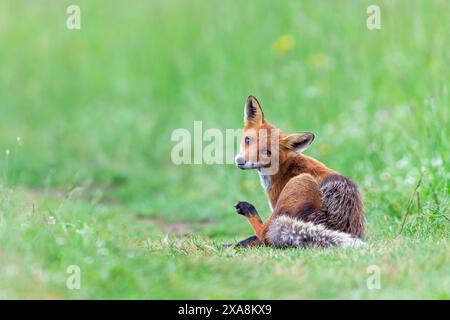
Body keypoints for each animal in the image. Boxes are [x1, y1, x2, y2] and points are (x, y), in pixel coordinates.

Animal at [232, 96, 366, 249]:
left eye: (267, 152)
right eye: (248, 140)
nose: (240, 161)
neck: (284, 169)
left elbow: (259, 238)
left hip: (301, 181)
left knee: (264, 234)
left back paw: (246, 209)